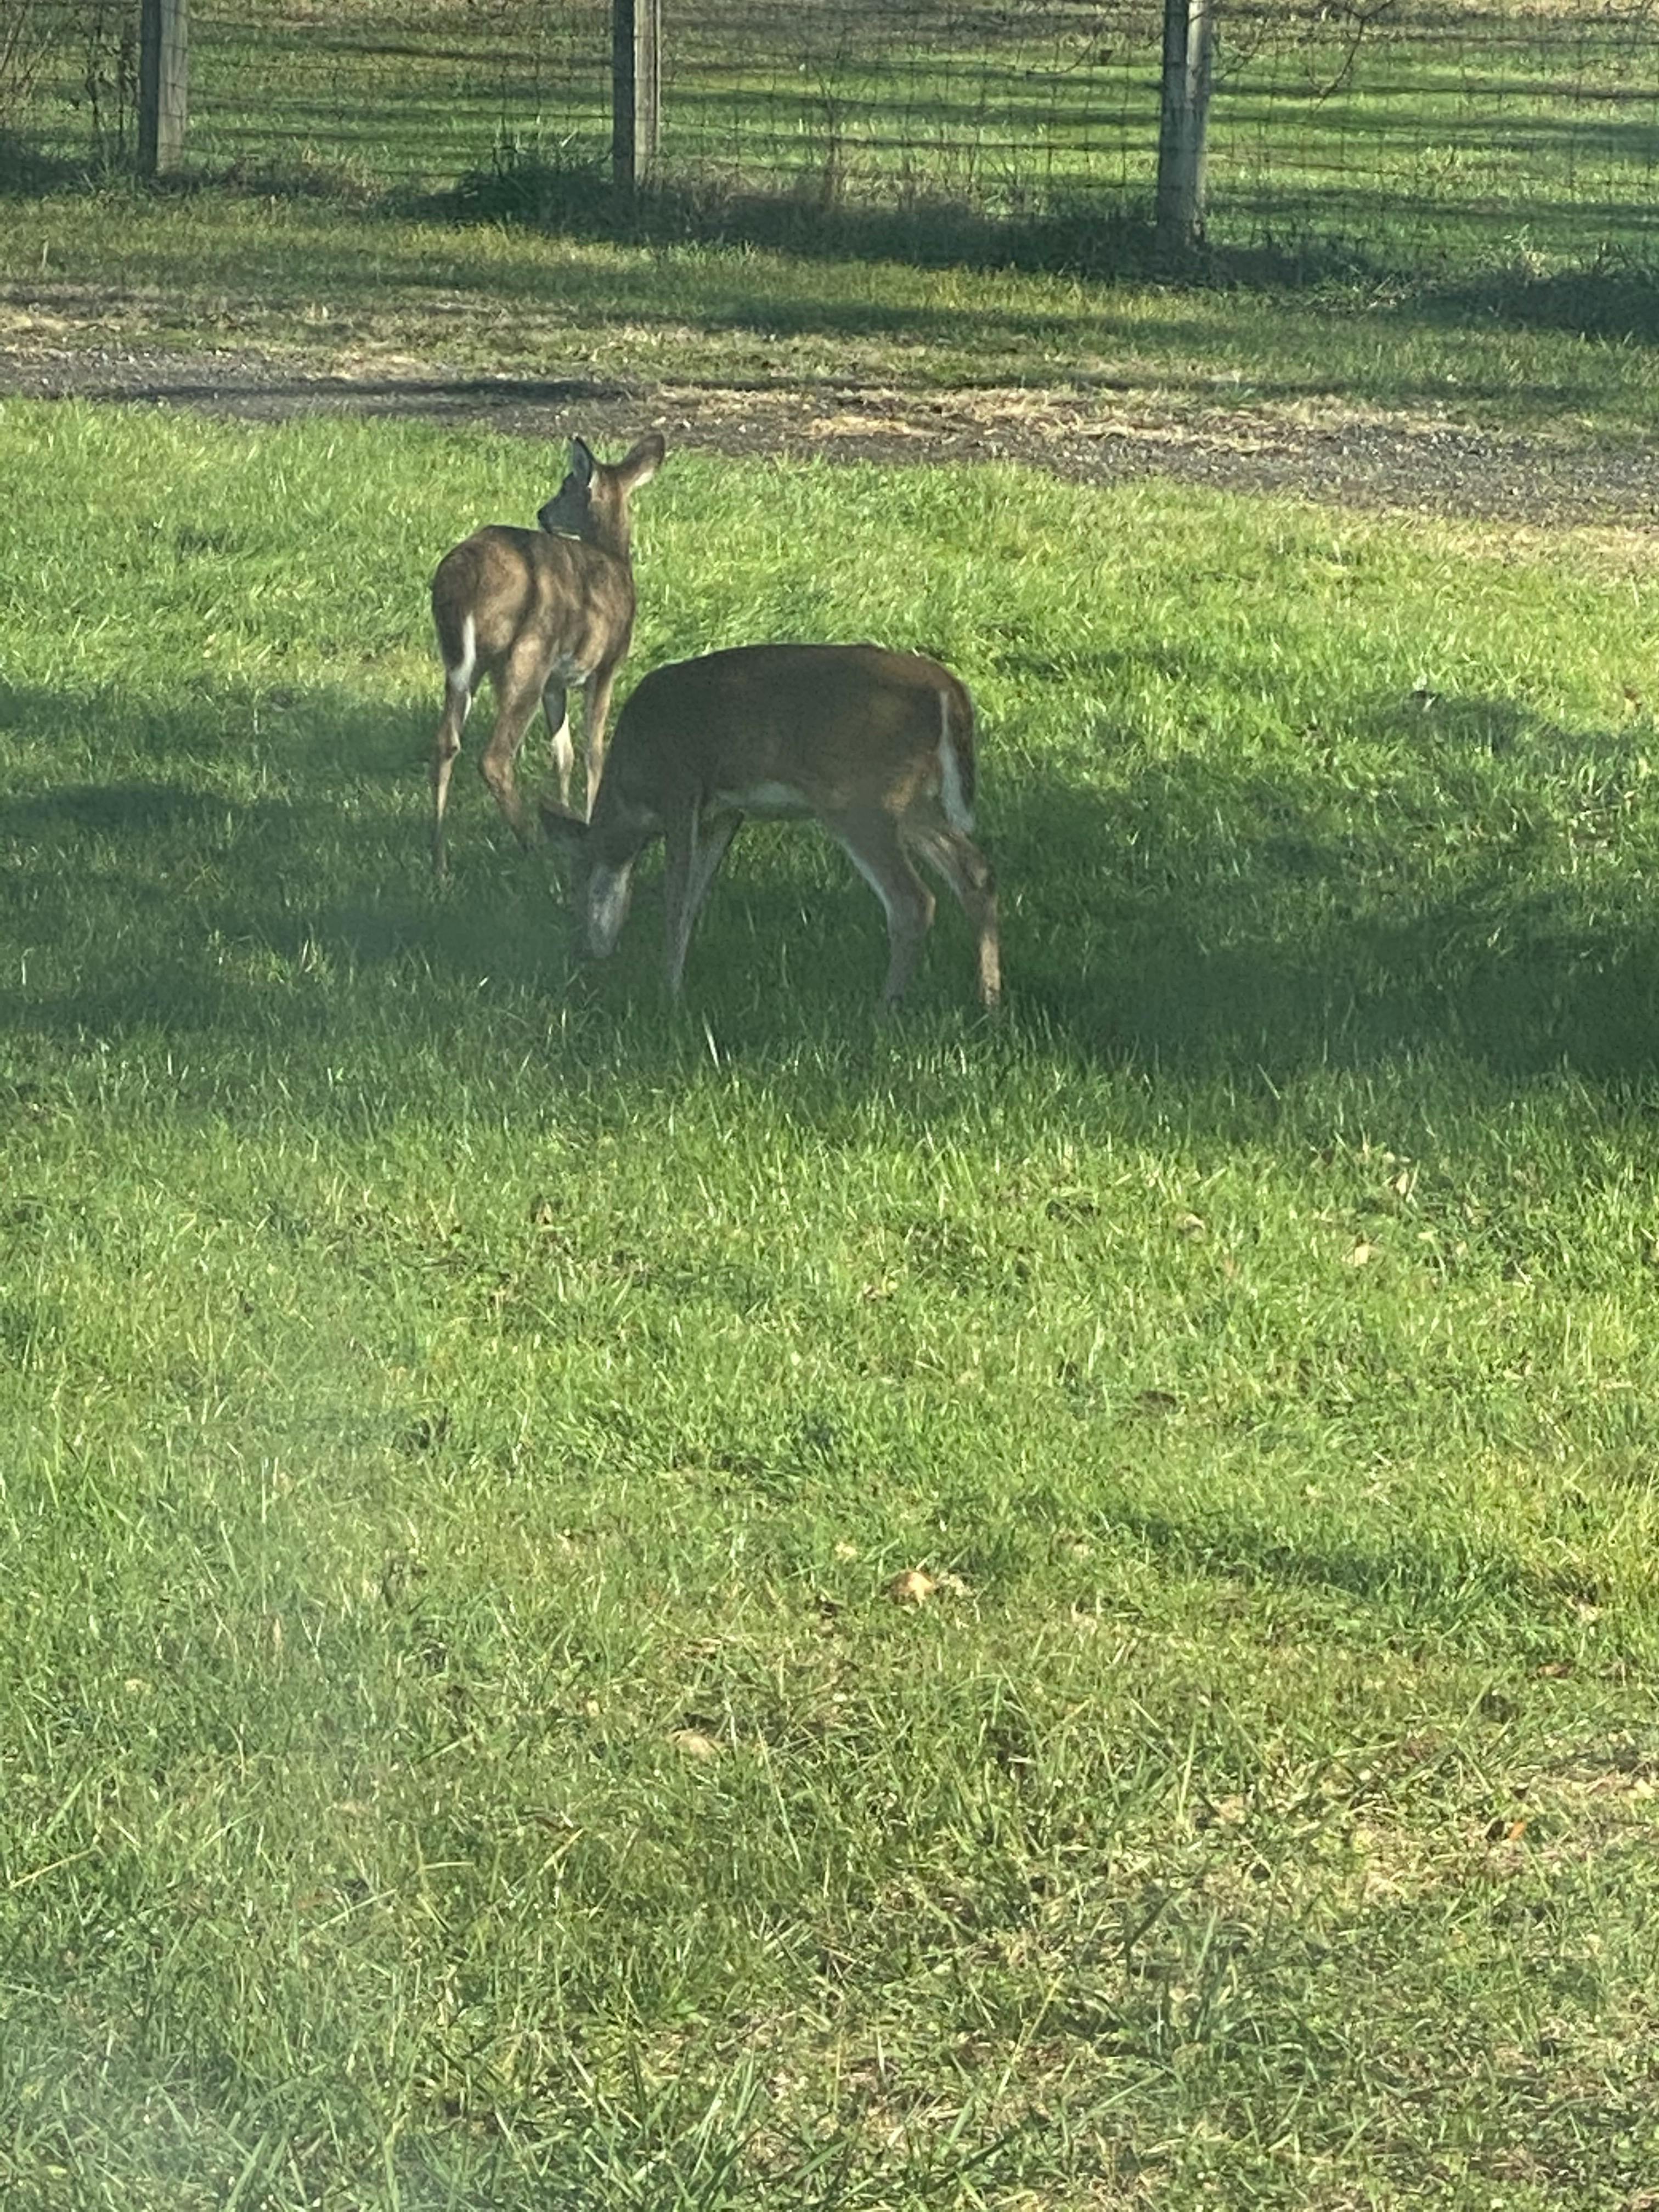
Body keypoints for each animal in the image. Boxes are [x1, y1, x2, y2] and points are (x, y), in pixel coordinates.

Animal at [427, 431, 665, 877]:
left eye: (564, 488)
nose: (543, 513)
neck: (615, 560)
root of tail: (461, 574)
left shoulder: (558, 681)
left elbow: (563, 753)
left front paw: (567, 813)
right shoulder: (607, 664)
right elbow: (594, 751)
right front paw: (588, 818)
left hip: (465, 662)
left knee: (445, 742)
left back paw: (439, 862)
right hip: (527, 653)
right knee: (495, 757)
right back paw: (532, 849)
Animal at [539, 642, 1001, 1011]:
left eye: (579, 882)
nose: (583, 951)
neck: (633, 794)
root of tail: (947, 687)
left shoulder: (681, 789)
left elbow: (675, 900)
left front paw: (667, 995)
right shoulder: (723, 812)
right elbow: (693, 901)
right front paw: (677, 987)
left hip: (862, 799)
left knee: (913, 900)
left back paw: (886, 1009)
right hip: (913, 801)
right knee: (976, 872)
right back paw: (990, 1000)